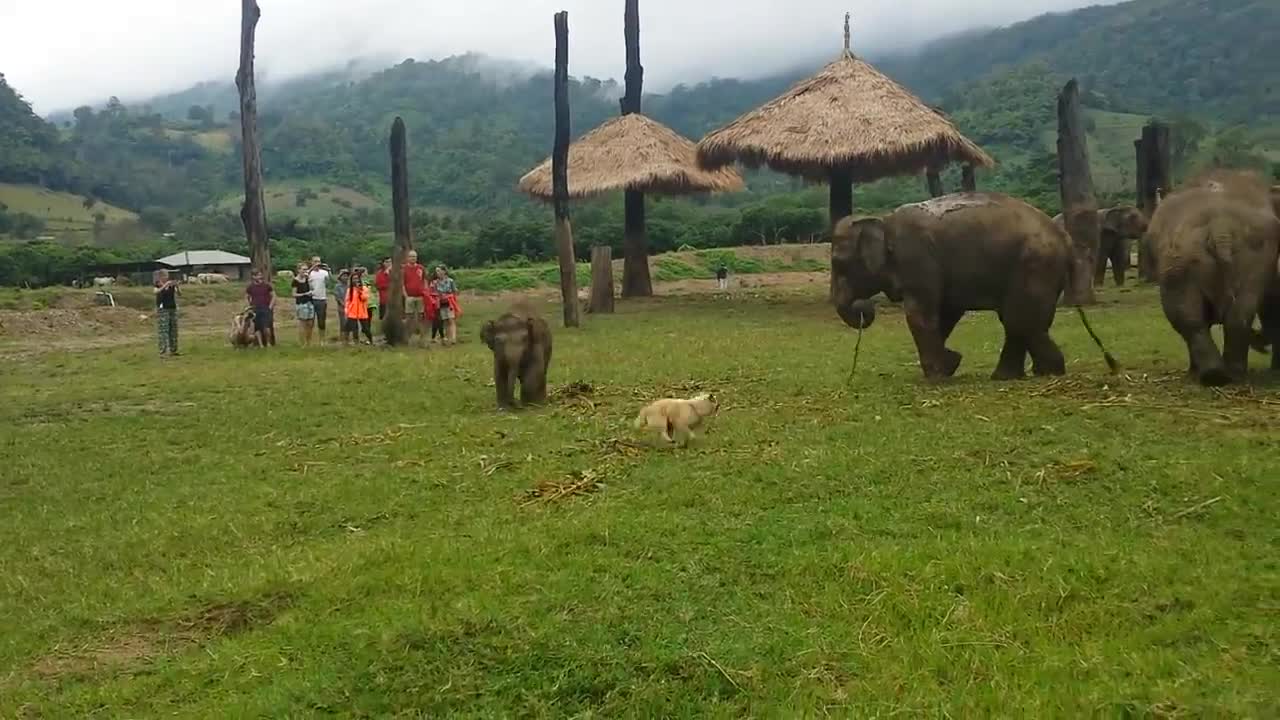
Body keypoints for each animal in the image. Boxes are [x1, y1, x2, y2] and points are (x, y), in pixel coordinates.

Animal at [834, 190, 1116, 381]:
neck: (882, 220)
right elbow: (945, 313)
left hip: (1035, 264)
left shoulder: (918, 259)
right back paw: (1016, 375)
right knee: (1023, 321)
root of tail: (1065, 239)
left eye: (839, 264)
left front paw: (938, 374)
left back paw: (1048, 372)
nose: (863, 308)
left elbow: (920, 314)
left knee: (1018, 320)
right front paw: (950, 364)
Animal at [1152, 169, 1280, 384]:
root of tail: (1220, 228)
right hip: (1249, 257)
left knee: (1187, 317)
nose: (1260, 343)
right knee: (1237, 314)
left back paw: (1213, 375)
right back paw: (1226, 375)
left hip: (1178, 262)